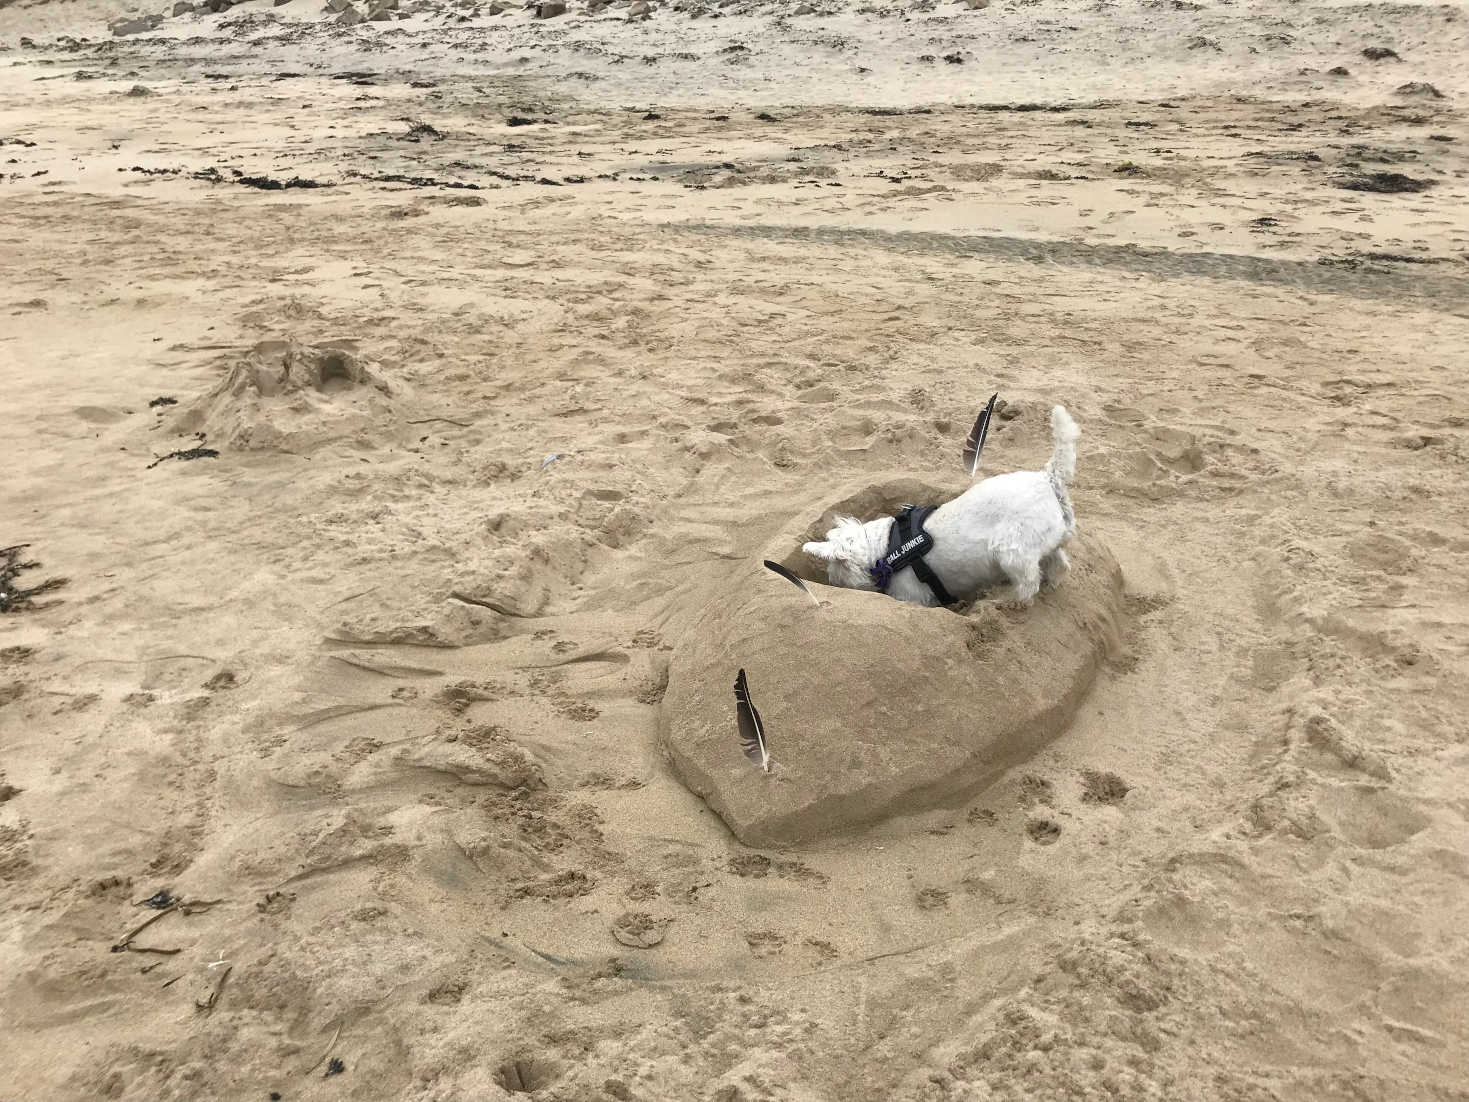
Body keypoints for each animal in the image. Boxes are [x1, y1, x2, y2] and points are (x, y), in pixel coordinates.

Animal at [805, 408, 1081, 608]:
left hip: (1011, 552)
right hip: (1049, 543)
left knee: (1028, 584)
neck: (883, 551)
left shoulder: (914, 596)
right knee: (1060, 567)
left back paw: (1003, 600)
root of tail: (1049, 479)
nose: (830, 582)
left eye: (834, 571)